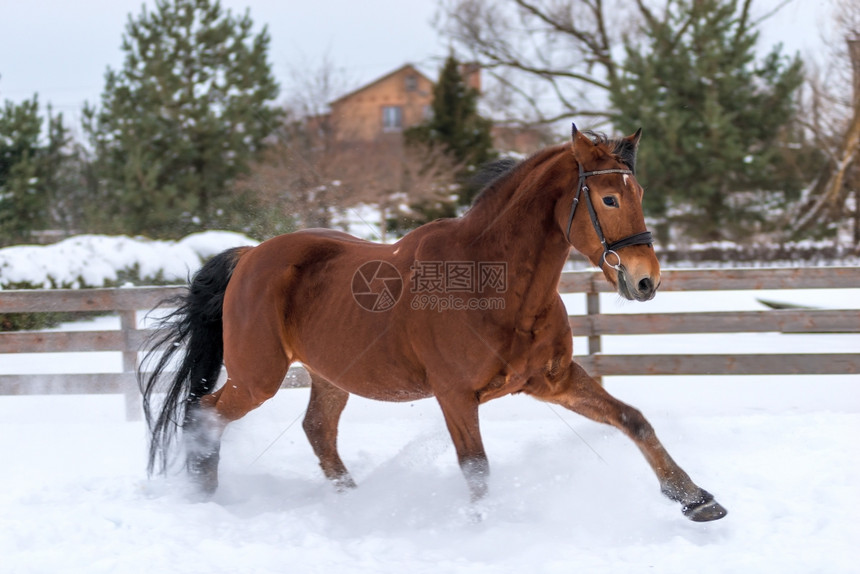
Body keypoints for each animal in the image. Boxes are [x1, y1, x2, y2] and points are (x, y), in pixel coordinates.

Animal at [139, 125, 724, 520]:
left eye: (639, 194)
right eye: (607, 197)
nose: (646, 281)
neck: (494, 285)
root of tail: (250, 256)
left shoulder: (553, 381)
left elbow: (633, 420)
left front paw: (695, 498)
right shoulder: (456, 395)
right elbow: (477, 469)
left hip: (329, 376)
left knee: (317, 431)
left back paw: (357, 504)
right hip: (258, 377)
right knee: (203, 414)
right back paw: (205, 495)